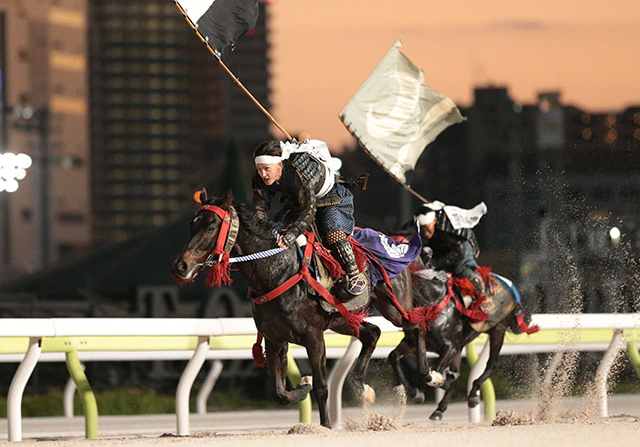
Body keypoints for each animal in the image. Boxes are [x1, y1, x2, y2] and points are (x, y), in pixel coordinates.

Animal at [170, 191, 430, 428]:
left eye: (211, 227)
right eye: (192, 225)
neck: (275, 271)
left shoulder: (313, 336)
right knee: (373, 333)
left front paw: (326, 425)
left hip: (393, 305)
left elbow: (322, 387)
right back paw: (363, 387)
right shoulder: (275, 338)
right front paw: (303, 386)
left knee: (415, 325)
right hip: (342, 320)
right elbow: (280, 393)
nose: (181, 266)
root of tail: (394, 240)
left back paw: (425, 377)